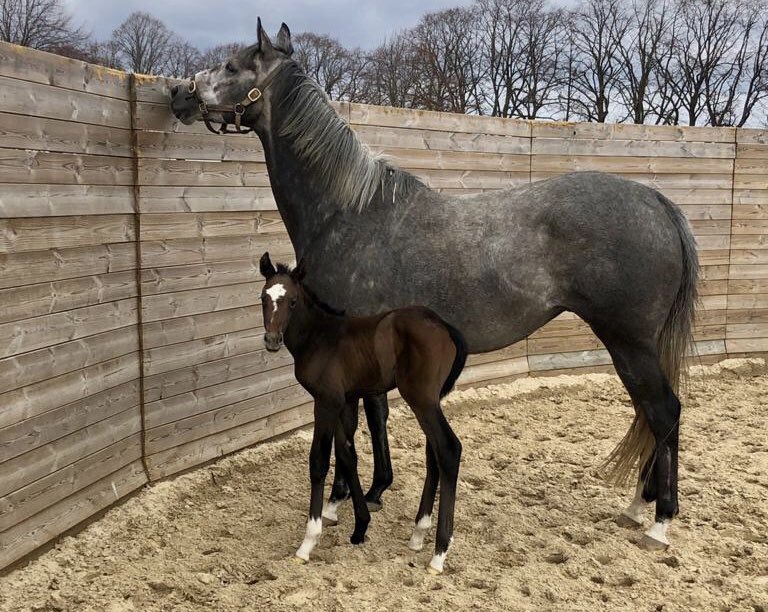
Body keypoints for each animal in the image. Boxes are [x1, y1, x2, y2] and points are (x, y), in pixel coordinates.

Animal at [259, 252, 467, 573]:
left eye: (292, 301)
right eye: (263, 298)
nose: (272, 340)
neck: (320, 337)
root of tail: (444, 326)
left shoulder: (325, 401)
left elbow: (319, 462)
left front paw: (308, 542)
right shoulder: (343, 400)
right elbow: (348, 454)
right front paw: (359, 527)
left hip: (421, 398)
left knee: (448, 448)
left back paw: (439, 553)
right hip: (430, 400)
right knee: (433, 452)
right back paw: (418, 533)